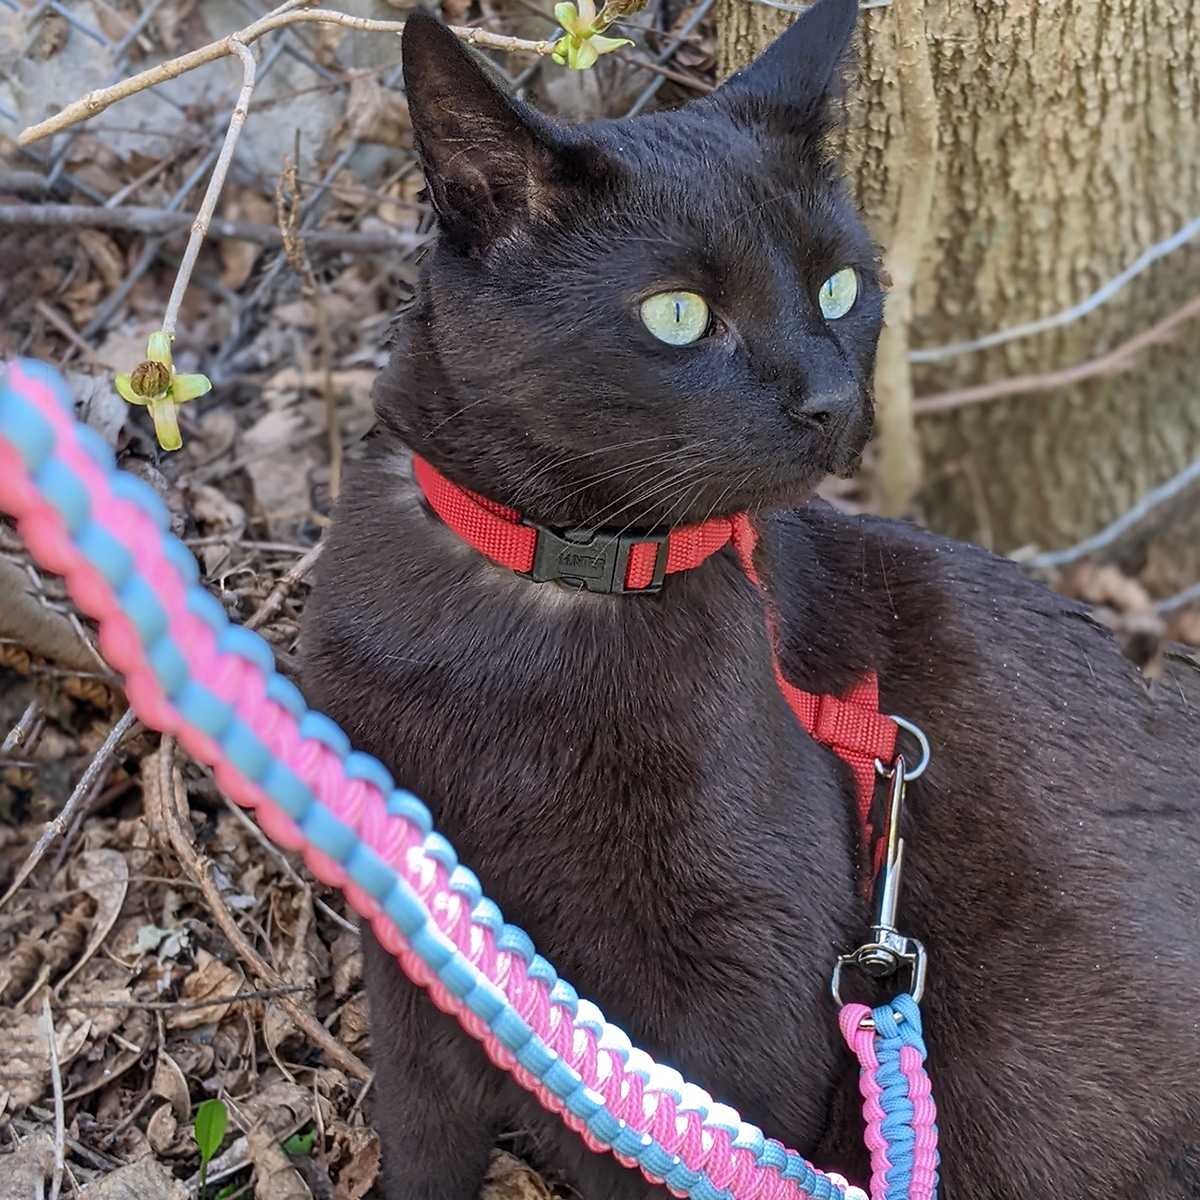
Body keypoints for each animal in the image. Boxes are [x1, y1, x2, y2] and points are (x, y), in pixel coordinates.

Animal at [300, 1, 1200, 1196]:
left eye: (840, 288)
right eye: (679, 316)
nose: (833, 399)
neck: (548, 585)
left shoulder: (742, 989)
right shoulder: (409, 951)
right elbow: (423, 1136)